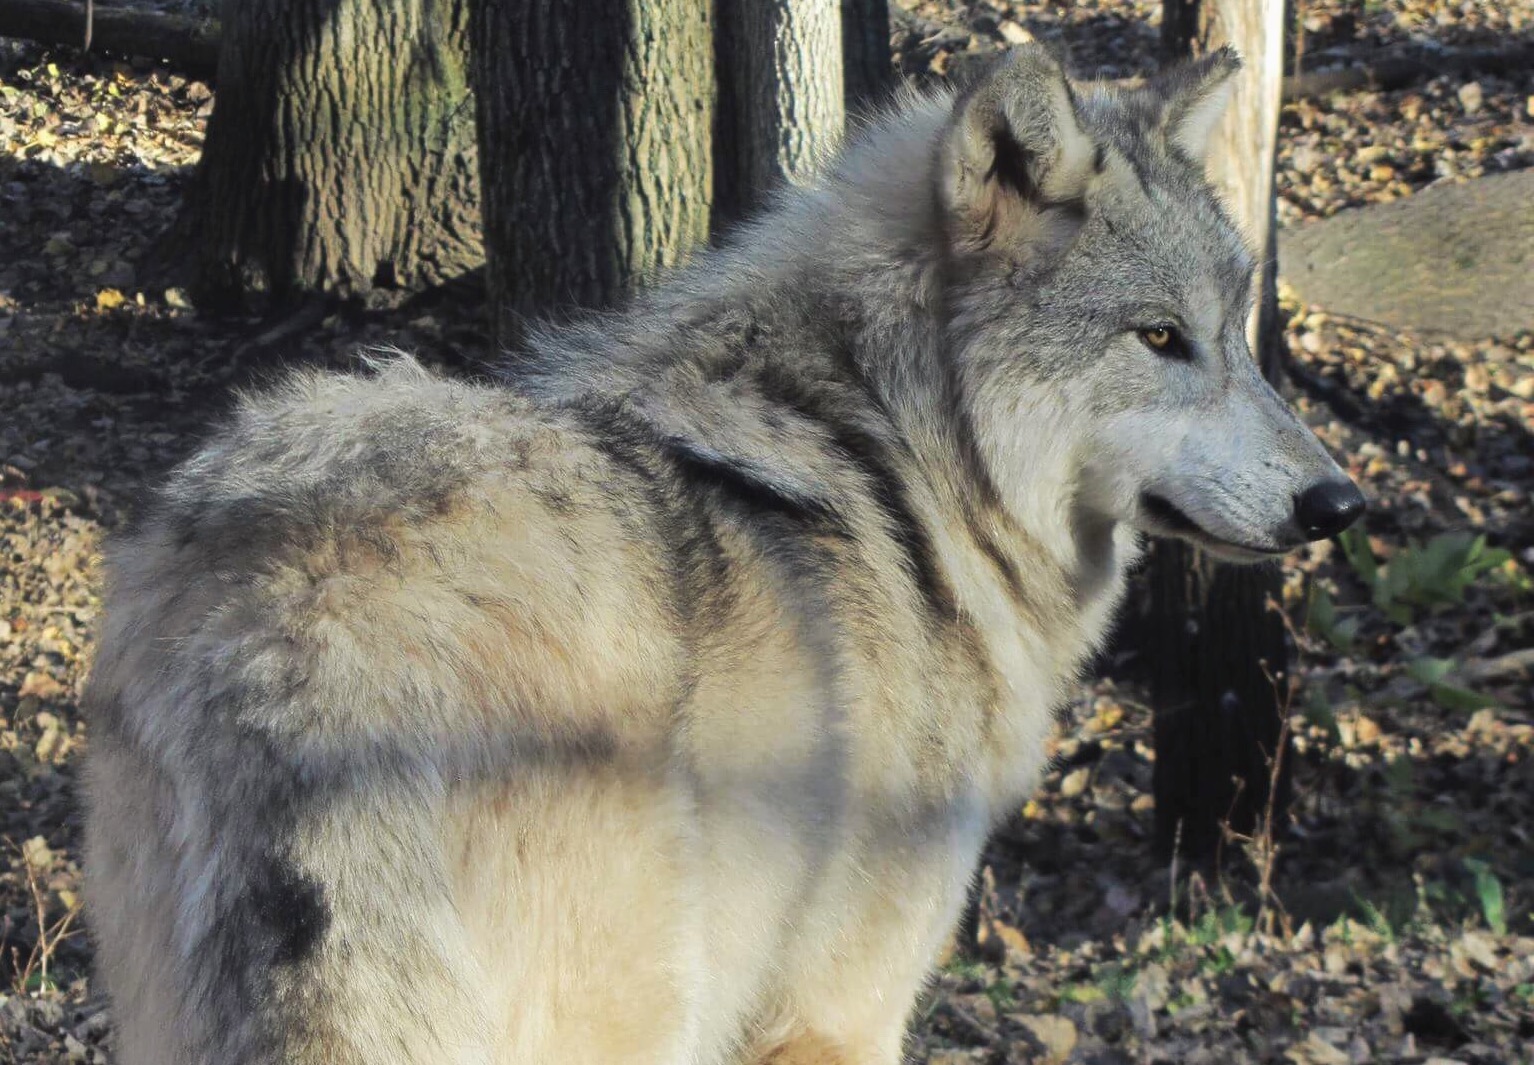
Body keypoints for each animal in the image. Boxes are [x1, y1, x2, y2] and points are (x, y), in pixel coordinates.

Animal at [83, 44, 1363, 1065]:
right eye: (1161, 339)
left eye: (1234, 336)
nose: (1338, 502)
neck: (909, 462)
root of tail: (300, 640)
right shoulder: (837, 1014)